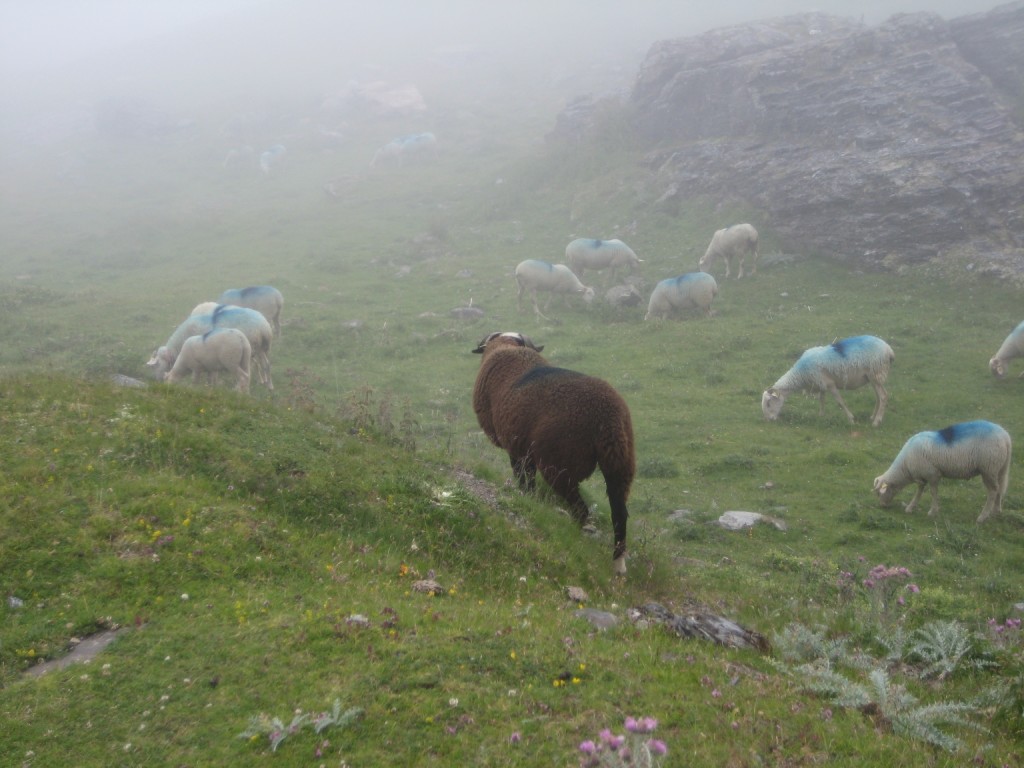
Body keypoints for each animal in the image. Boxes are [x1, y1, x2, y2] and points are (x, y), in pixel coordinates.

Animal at [471, 331, 636, 575]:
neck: (509, 349)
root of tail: (607, 417)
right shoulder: (526, 450)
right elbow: (529, 480)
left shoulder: (516, 448)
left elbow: (522, 478)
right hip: (620, 462)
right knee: (619, 514)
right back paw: (618, 564)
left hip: (559, 463)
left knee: (581, 510)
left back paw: (575, 537)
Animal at [761, 335, 894, 426]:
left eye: (768, 403)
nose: (768, 420)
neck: (800, 374)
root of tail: (889, 350)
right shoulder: (821, 383)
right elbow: (822, 400)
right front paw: (821, 416)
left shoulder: (830, 384)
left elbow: (840, 403)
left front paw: (851, 419)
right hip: (872, 377)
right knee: (878, 397)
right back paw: (873, 417)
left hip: (876, 373)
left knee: (883, 396)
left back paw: (876, 422)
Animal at [873, 420, 1011, 523]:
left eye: (879, 493)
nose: (882, 505)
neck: (904, 466)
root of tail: (1006, 437)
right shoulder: (922, 477)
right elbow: (919, 492)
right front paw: (911, 507)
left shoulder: (932, 474)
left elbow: (933, 492)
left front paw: (932, 511)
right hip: (1000, 469)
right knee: (1000, 488)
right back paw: (996, 511)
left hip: (989, 468)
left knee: (993, 491)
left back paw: (982, 517)